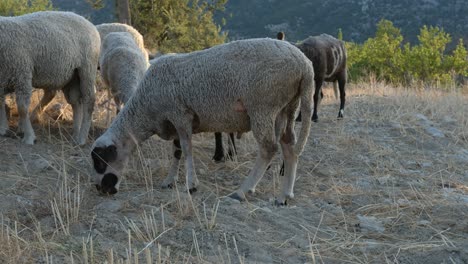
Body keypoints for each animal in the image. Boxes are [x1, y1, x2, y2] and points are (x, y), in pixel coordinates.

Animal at [0, 10, 99, 144]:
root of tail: (89, 23)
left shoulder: (22, 74)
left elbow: (22, 108)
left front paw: (29, 137)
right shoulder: (2, 79)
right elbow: (0, 103)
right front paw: (3, 129)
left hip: (87, 68)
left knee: (89, 100)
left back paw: (82, 138)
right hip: (71, 76)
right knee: (75, 101)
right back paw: (75, 134)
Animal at [90, 38, 314, 205]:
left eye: (100, 162)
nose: (101, 189)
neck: (146, 108)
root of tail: (305, 65)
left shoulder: (180, 114)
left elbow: (187, 149)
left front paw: (191, 185)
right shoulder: (175, 120)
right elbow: (177, 151)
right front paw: (170, 181)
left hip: (263, 106)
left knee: (269, 148)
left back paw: (242, 191)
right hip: (287, 109)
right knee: (289, 148)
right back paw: (284, 196)